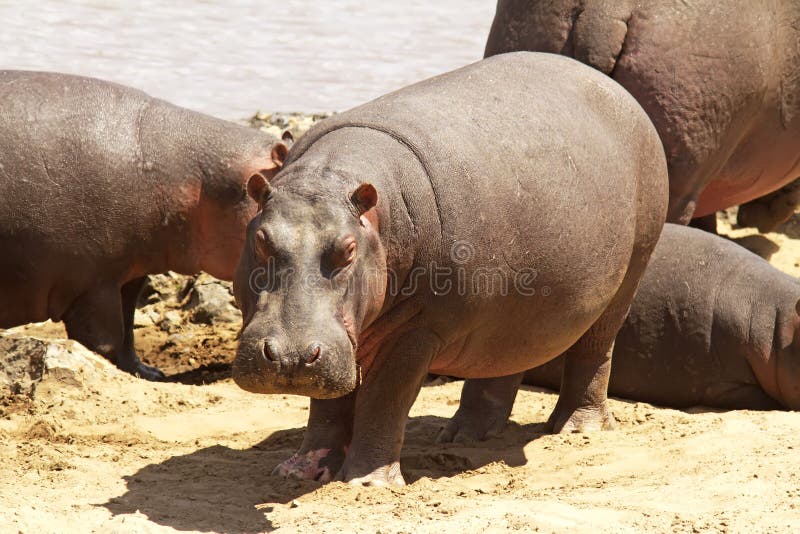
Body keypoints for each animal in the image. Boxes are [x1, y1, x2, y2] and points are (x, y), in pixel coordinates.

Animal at [0, 71, 288, 382]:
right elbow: (105, 340)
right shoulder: (94, 284)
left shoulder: (129, 274)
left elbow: (128, 329)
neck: (196, 179)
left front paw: (150, 373)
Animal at [233, 52, 668, 488]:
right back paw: (463, 435)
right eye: (260, 238)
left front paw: (369, 483)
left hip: (630, 272)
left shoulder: (418, 329)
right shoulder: (340, 341)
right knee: (501, 361)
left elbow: (385, 397)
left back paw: (579, 429)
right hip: (510, 309)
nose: (288, 356)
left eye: (349, 249)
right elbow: (327, 403)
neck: (331, 181)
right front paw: (298, 472)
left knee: (595, 348)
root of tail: (615, 89)